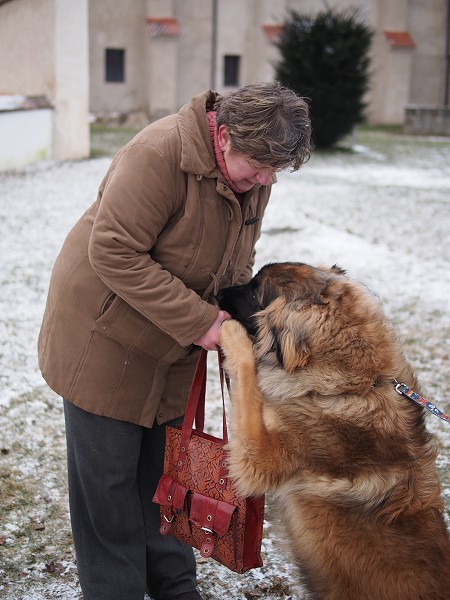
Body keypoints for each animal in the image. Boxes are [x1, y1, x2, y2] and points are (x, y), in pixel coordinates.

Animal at [218, 262, 450, 600]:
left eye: (254, 291)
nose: (218, 292)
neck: (355, 385)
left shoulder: (261, 458)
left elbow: (248, 381)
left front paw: (231, 333)